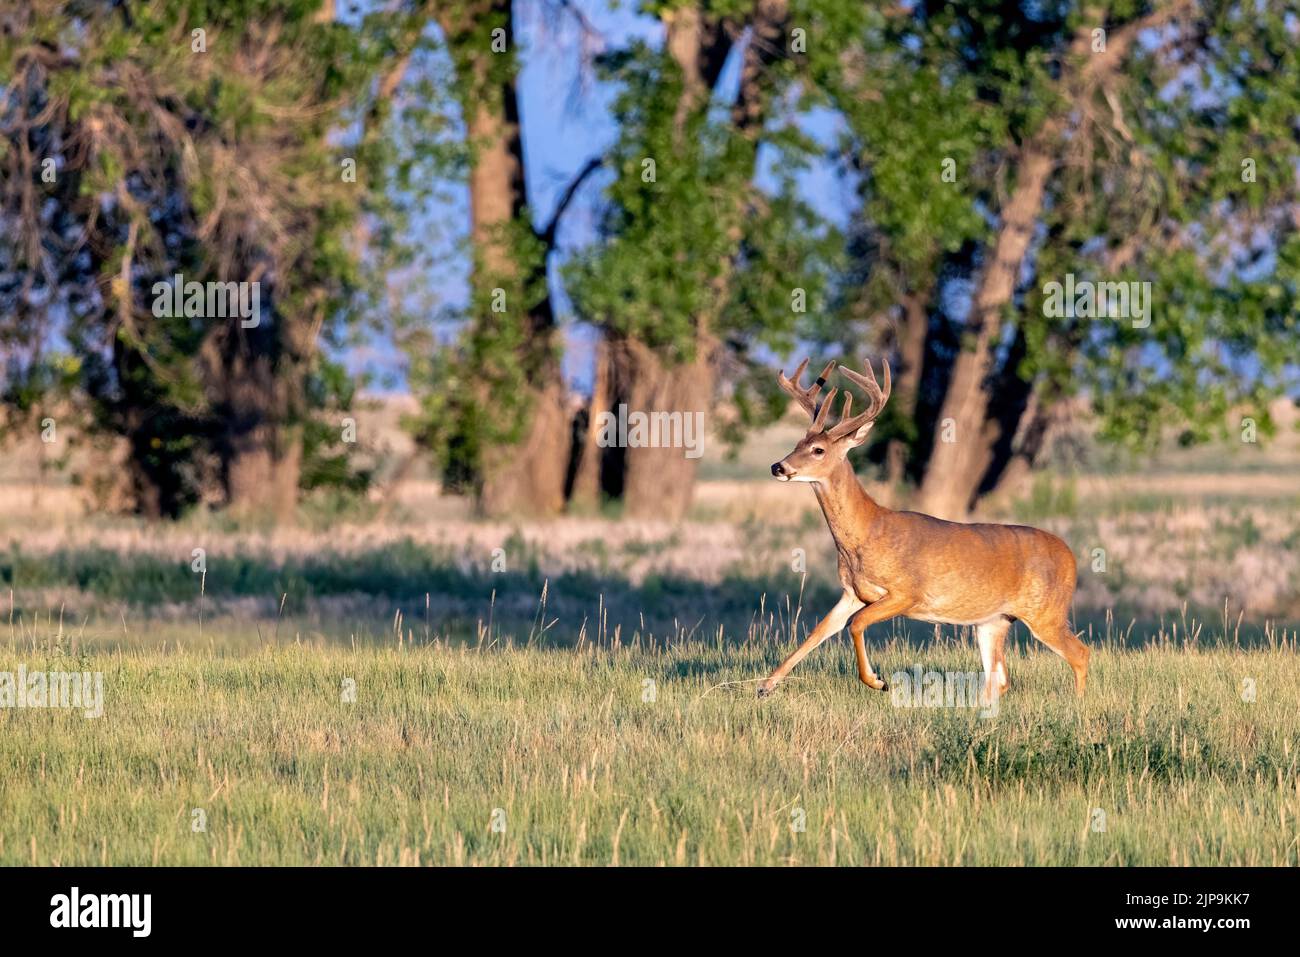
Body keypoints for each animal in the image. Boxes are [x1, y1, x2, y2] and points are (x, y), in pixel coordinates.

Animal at [759, 358, 1086, 702]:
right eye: (797, 444)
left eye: (818, 450)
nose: (778, 466)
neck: (868, 530)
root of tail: (1071, 557)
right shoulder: (852, 592)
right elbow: (818, 632)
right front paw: (766, 685)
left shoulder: (907, 592)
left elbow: (856, 624)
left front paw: (877, 680)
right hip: (993, 620)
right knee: (999, 678)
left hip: (1046, 612)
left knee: (1080, 653)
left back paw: (1076, 705)